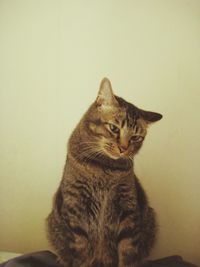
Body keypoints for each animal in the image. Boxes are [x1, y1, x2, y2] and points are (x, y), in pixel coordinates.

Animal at [47, 78, 162, 267]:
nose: (124, 148)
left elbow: (127, 251)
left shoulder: (128, 208)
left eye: (136, 137)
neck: (105, 168)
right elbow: (80, 251)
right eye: (114, 128)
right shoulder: (75, 207)